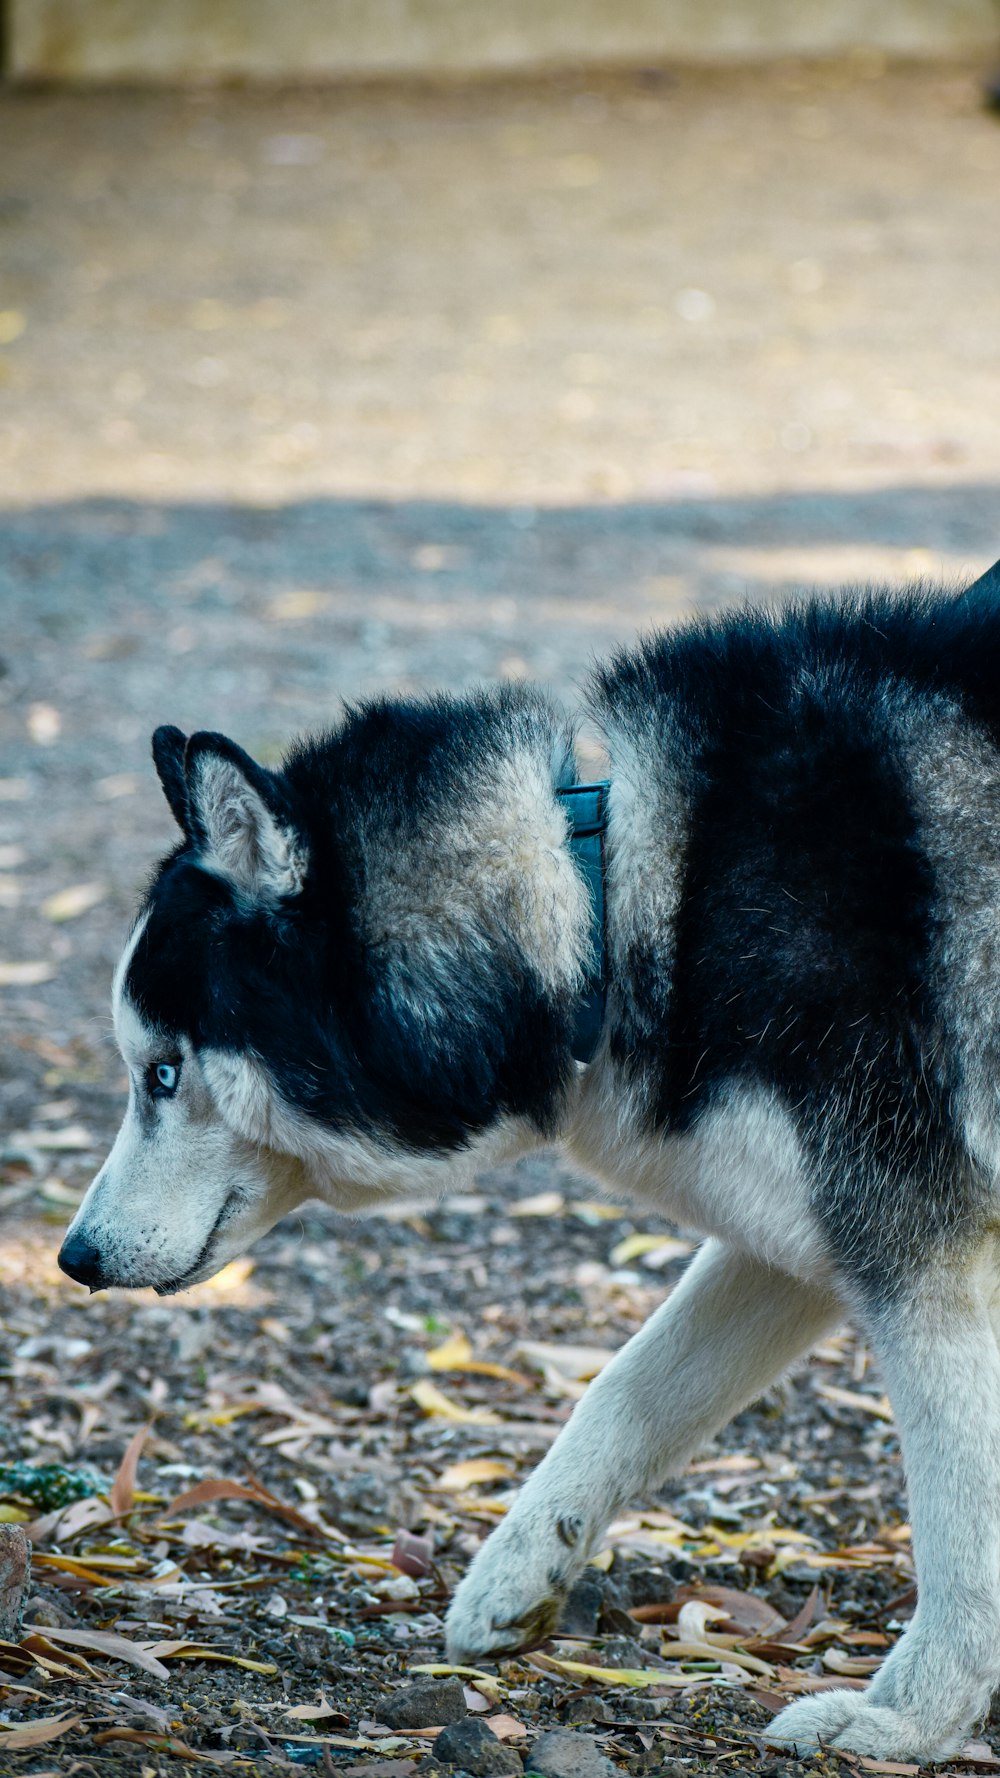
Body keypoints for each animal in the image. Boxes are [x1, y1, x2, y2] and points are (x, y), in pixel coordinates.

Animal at [56, 572, 1000, 1763]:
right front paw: (520, 1569)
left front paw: (909, 1717)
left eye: (164, 1071)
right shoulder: (795, 1245)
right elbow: (626, 1388)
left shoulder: (924, 1261)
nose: (73, 1255)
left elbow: (964, 1522)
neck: (611, 898)